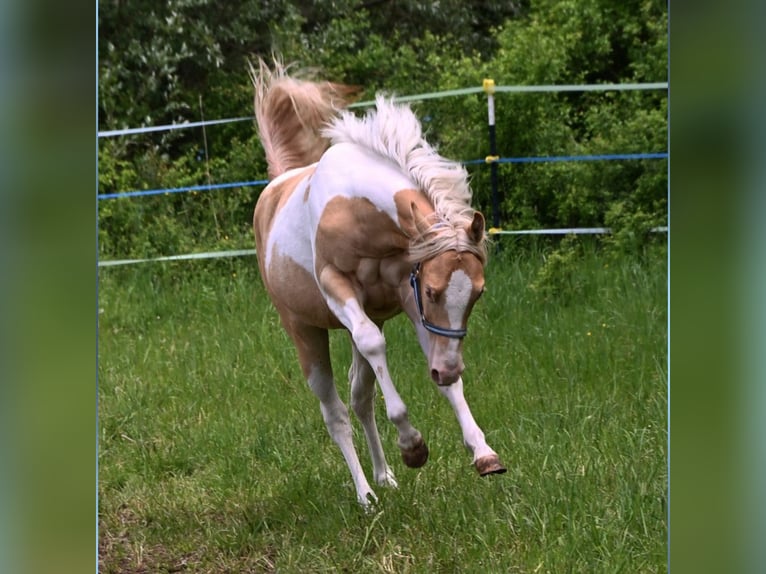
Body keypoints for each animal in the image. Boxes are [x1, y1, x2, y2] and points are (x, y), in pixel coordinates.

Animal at [249, 59, 506, 507]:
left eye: (478, 293)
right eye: (434, 290)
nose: (449, 370)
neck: (354, 209)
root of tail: (275, 188)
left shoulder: (408, 296)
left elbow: (429, 365)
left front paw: (483, 452)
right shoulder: (341, 289)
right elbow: (374, 348)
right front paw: (414, 446)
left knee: (361, 398)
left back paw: (385, 477)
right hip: (304, 330)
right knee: (335, 412)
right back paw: (366, 495)